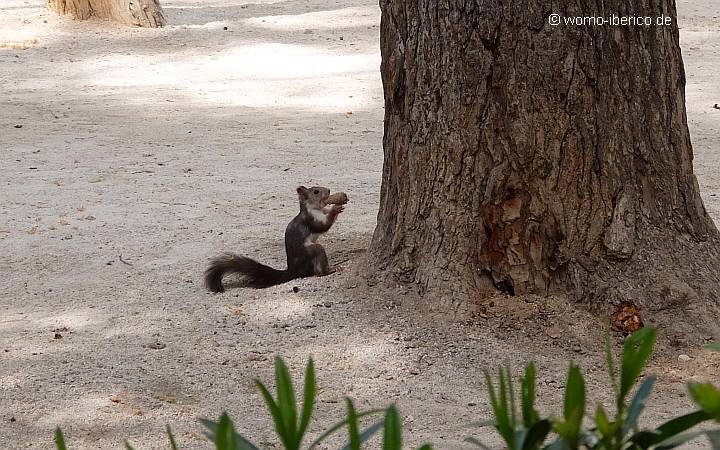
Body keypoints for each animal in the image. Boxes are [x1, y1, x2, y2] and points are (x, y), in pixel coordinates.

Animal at [204, 185, 348, 292]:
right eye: (316, 191)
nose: (329, 190)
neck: (316, 209)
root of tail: (294, 270)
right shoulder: (311, 219)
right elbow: (323, 226)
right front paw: (335, 209)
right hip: (312, 250)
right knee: (317, 269)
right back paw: (329, 270)